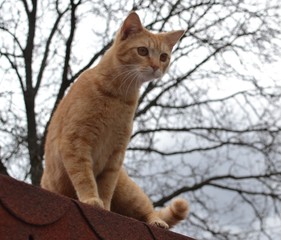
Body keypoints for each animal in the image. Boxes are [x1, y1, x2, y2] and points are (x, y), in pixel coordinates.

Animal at [40, 11, 187, 229]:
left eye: (163, 57)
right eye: (142, 51)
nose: (155, 67)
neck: (119, 95)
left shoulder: (115, 155)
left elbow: (106, 188)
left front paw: (105, 207)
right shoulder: (76, 142)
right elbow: (84, 177)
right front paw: (92, 199)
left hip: (128, 193)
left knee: (148, 210)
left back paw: (157, 222)